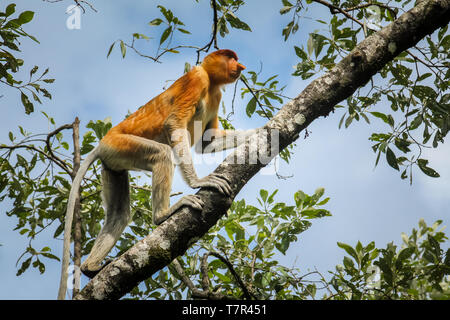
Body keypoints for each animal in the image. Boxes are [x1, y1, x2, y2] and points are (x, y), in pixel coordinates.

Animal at [59, 48, 256, 298]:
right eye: (230, 57)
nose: (240, 66)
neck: (212, 82)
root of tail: (102, 143)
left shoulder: (216, 96)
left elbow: (208, 142)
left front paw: (264, 132)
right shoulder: (196, 80)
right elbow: (174, 125)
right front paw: (199, 181)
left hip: (113, 163)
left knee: (119, 213)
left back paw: (90, 267)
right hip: (122, 145)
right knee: (162, 154)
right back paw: (163, 215)